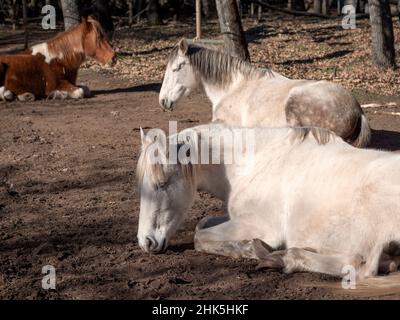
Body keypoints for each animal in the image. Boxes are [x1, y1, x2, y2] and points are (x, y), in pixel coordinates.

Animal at [137, 124, 400, 278]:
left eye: (162, 183)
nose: (145, 242)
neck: (256, 161)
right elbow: (203, 223)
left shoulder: (256, 226)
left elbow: (199, 238)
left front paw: (248, 249)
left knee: (362, 265)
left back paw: (280, 258)